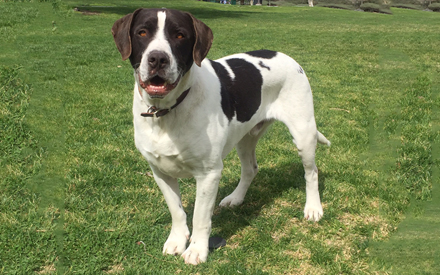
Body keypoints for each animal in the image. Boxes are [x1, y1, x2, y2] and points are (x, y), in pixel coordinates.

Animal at [111, 8, 328, 266]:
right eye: (142, 32)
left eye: (180, 35)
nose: (157, 59)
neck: (167, 110)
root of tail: (286, 56)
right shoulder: (160, 171)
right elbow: (176, 210)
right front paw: (177, 240)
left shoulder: (208, 174)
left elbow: (200, 217)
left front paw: (197, 250)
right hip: (245, 138)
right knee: (251, 169)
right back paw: (236, 198)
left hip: (303, 133)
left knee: (311, 172)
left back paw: (313, 208)